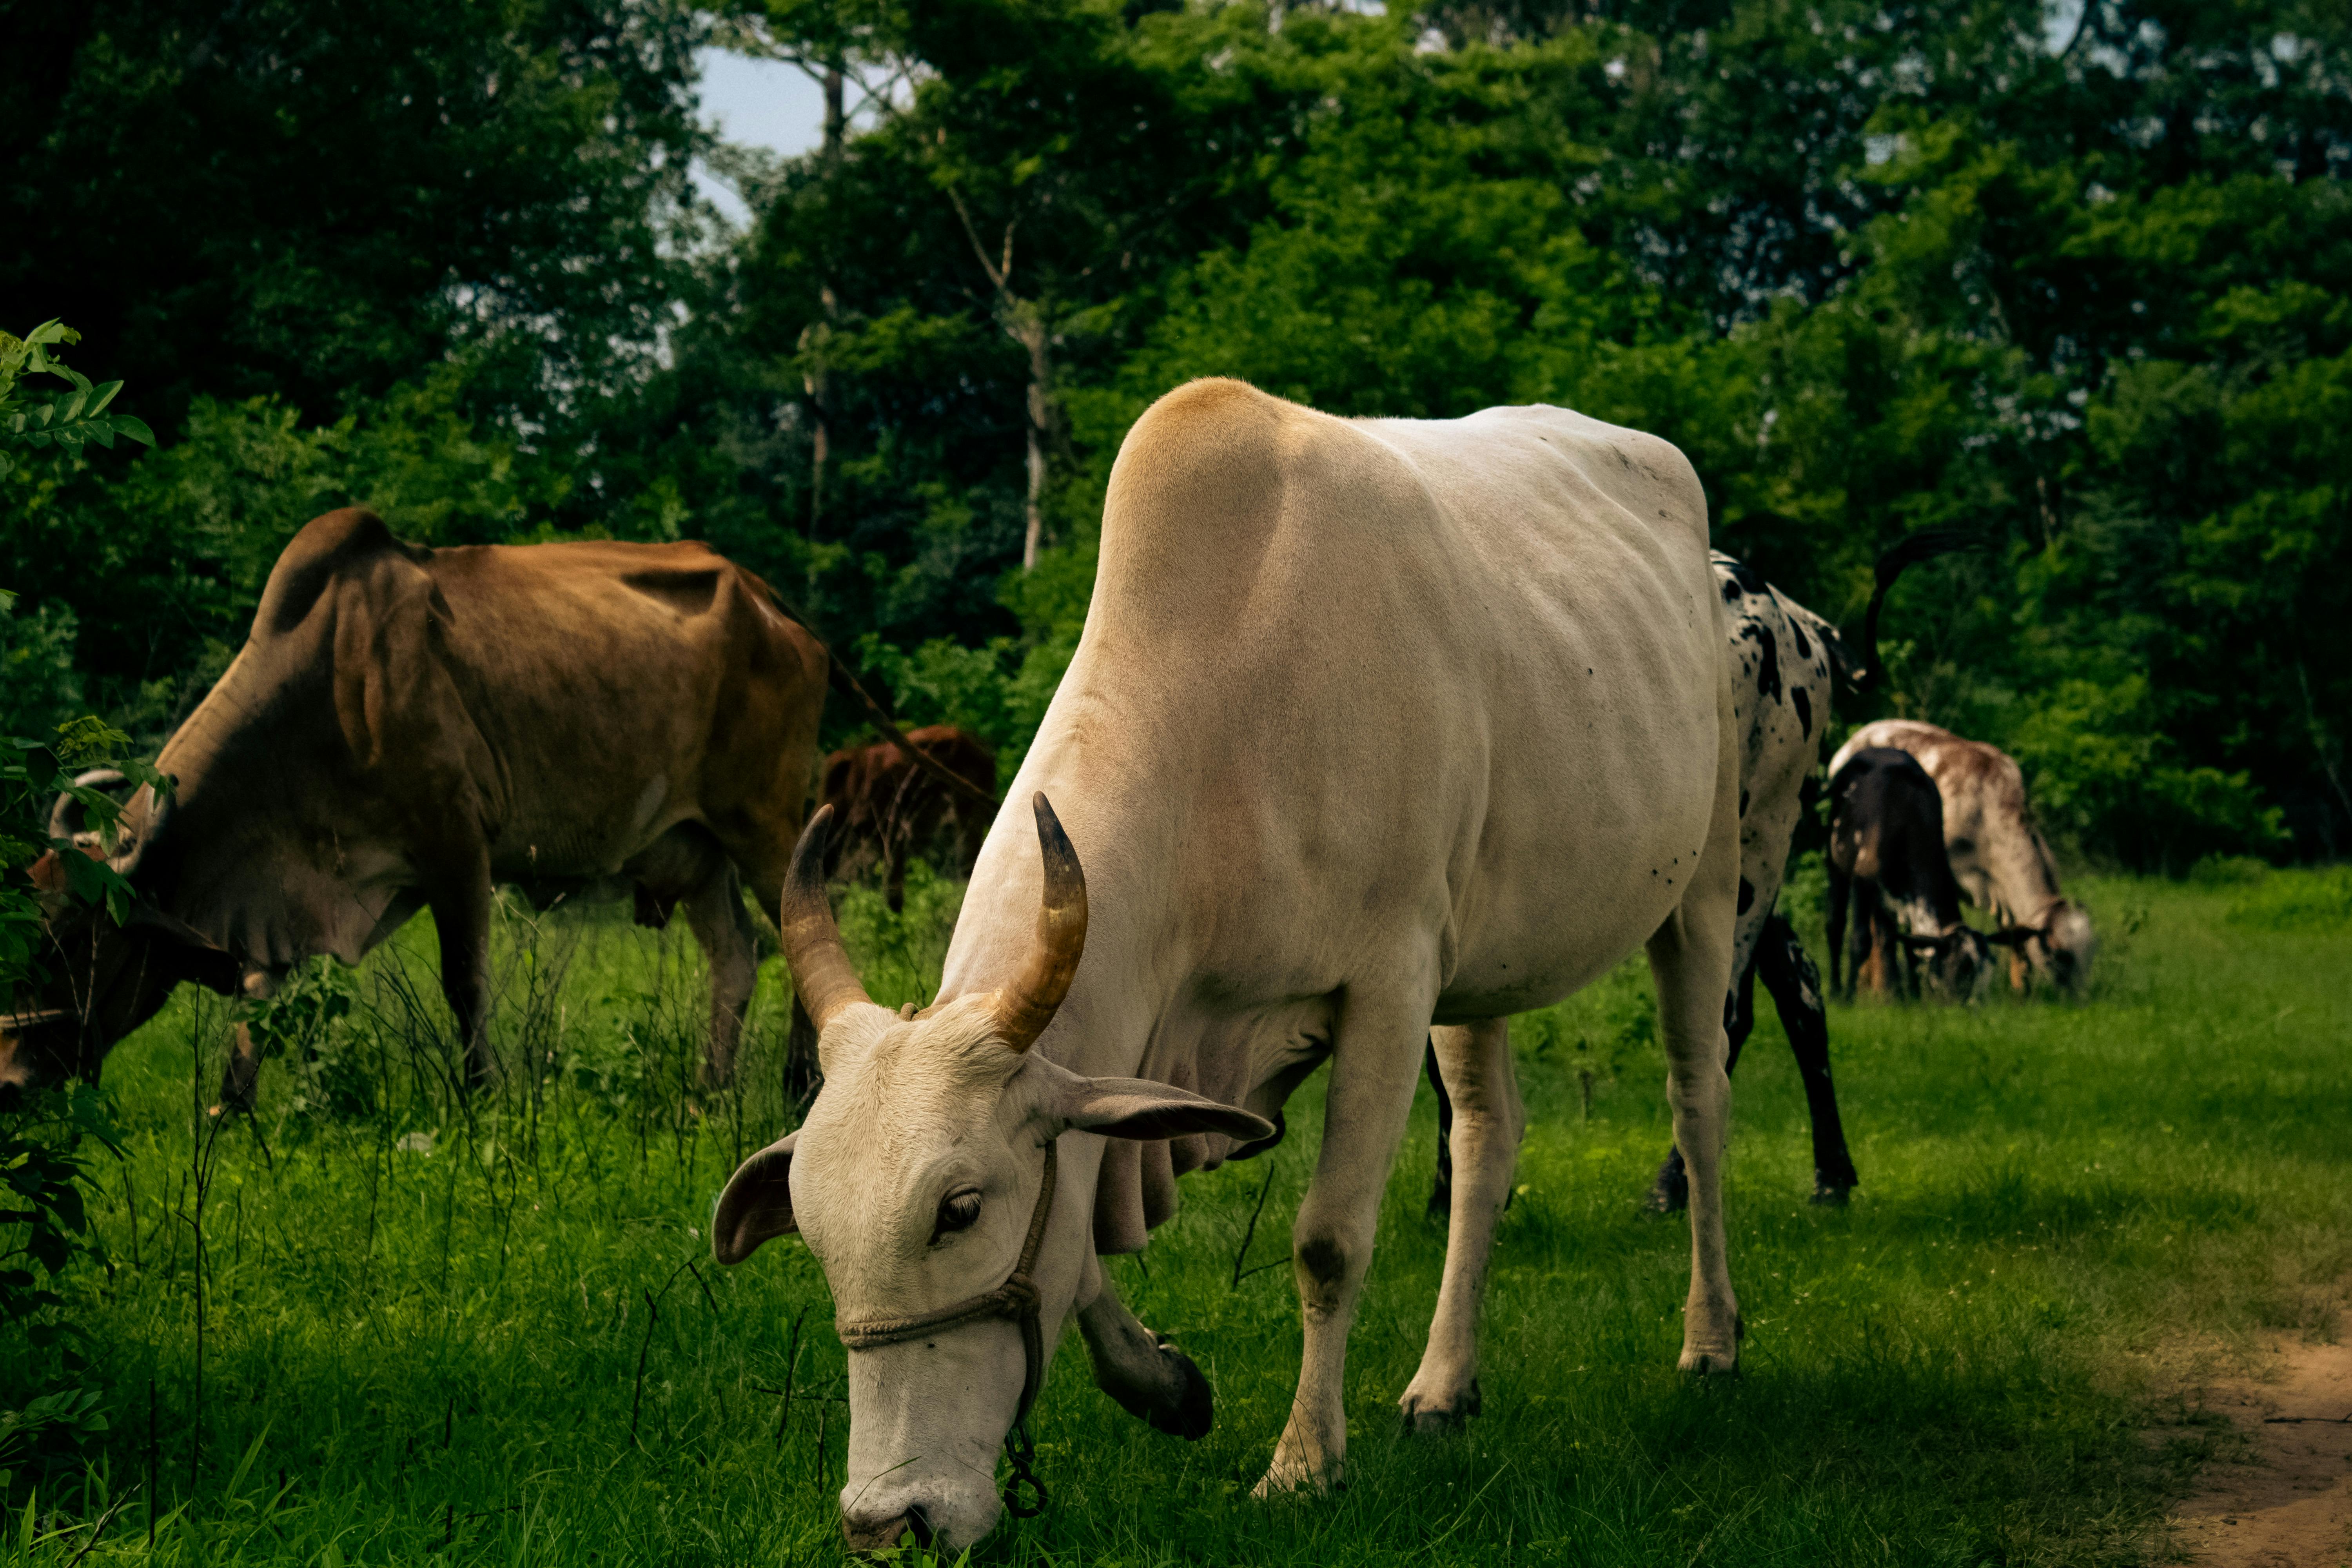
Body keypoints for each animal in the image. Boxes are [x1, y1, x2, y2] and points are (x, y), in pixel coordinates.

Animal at [0, 510, 833, 1109]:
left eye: (67, 941)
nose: (12, 1080)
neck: (326, 694)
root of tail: (768, 603)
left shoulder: (456, 847)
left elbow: (464, 985)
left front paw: (483, 1102)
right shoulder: (328, 890)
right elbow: (262, 1000)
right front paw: (229, 1110)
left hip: (764, 825)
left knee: (796, 928)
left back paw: (800, 1086)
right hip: (696, 850)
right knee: (735, 957)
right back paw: (707, 1095)